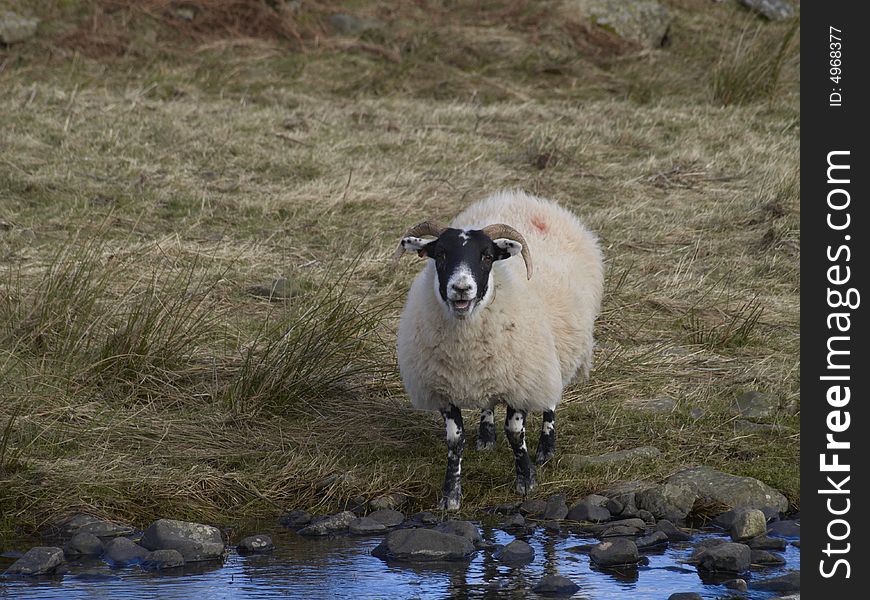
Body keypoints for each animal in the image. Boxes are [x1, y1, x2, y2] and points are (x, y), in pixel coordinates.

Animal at [396, 190, 608, 508]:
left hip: (550, 355)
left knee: (550, 399)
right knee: (489, 401)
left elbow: (515, 433)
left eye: (486, 256)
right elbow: (454, 440)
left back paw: (546, 448)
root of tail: (526, 199)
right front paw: (451, 494)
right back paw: (486, 435)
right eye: (440, 254)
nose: (461, 288)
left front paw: (526, 479)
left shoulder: (522, 378)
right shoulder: (443, 388)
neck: (465, 344)